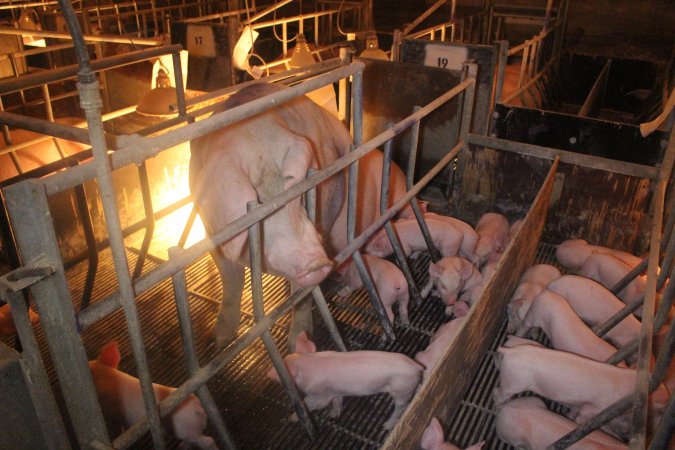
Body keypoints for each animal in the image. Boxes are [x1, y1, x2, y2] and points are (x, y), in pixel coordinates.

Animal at [266, 330, 420, 428]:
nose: (270, 375)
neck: (308, 365)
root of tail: (415, 366)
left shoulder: (319, 395)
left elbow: (310, 403)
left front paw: (292, 418)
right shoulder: (334, 390)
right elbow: (337, 400)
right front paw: (333, 415)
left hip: (401, 389)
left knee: (401, 406)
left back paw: (386, 426)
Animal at [494, 344, 668, 440]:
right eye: (660, 407)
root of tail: (511, 352)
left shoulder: (579, 404)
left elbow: (572, 413)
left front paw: (569, 417)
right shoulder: (594, 408)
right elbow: (582, 420)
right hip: (513, 382)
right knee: (498, 393)